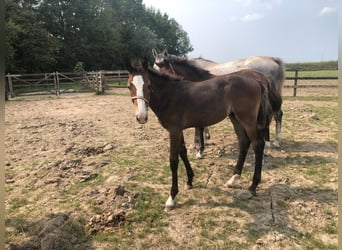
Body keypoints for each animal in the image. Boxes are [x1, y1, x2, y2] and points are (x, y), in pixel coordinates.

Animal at [125, 58, 278, 211]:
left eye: (148, 84)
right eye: (129, 86)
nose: (141, 117)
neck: (170, 96)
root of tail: (257, 81)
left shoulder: (173, 130)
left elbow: (173, 161)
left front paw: (171, 198)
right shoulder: (178, 130)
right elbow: (183, 152)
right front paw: (190, 181)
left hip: (248, 120)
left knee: (258, 144)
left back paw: (252, 187)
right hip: (235, 118)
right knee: (244, 142)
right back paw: (233, 179)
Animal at [153, 49, 286, 150]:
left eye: (165, 68)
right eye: (154, 68)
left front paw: (197, 144)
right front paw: (204, 140)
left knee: (274, 116)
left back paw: (272, 142)